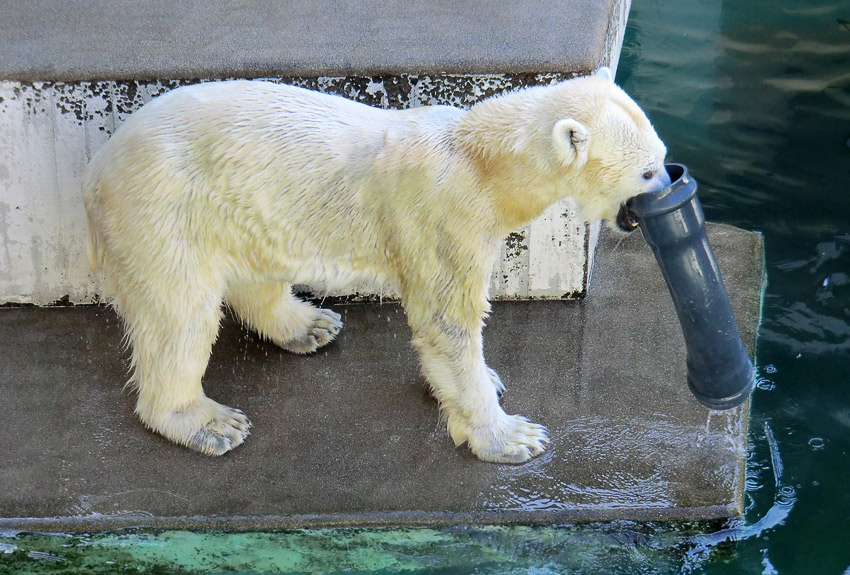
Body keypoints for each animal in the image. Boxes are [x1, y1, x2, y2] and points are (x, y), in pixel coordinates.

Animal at [84, 67, 668, 464]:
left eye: (662, 154)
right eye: (647, 170)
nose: (671, 184)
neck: (482, 163)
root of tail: (98, 166)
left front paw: (487, 379)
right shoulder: (445, 219)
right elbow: (447, 322)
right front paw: (511, 436)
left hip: (242, 204)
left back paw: (310, 325)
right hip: (164, 206)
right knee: (179, 319)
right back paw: (208, 423)